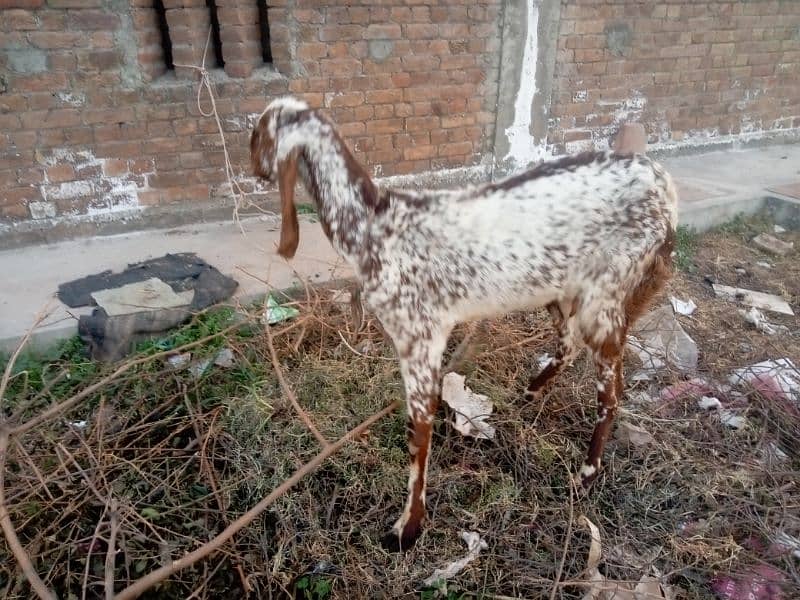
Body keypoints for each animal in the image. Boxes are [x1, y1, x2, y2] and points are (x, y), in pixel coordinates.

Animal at [248, 96, 676, 552]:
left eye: (257, 135)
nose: (253, 168)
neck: (374, 225)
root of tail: (664, 187)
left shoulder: (419, 337)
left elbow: (418, 432)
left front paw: (407, 528)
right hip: (559, 289)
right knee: (568, 343)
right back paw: (530, 394)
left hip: (607, 293)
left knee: (610, 391)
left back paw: (587, 472)